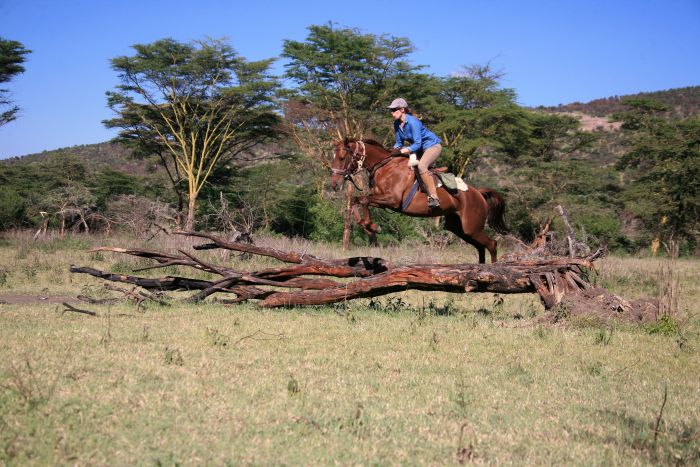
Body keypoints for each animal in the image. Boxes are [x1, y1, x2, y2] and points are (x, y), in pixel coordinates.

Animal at [330, 138, 506, 264]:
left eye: (342, 157)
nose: (334, 184)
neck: (384, 166)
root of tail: (479, 194)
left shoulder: (392, 200)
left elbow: (364, 200)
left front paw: (371, 226)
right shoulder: (381, 199)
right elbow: (357, 200)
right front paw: (368, 226)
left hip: (472, 228)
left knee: (492, 244)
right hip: (459, 228)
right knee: (481, 246)